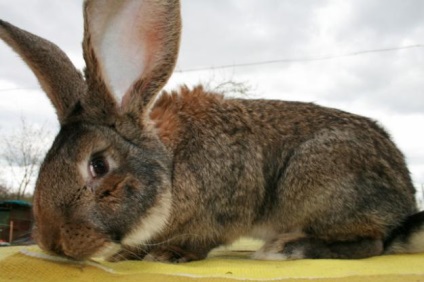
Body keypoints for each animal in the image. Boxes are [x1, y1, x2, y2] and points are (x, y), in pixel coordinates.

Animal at [0, 0, 424, 262]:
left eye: (99, 165)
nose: (51, 242)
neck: (172, 165)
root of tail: (404, 203)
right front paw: (128, 254)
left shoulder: (228, 205)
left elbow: (203, 239)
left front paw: (169, 255)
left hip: (316, 182)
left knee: (373, 243)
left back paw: (285, 248)